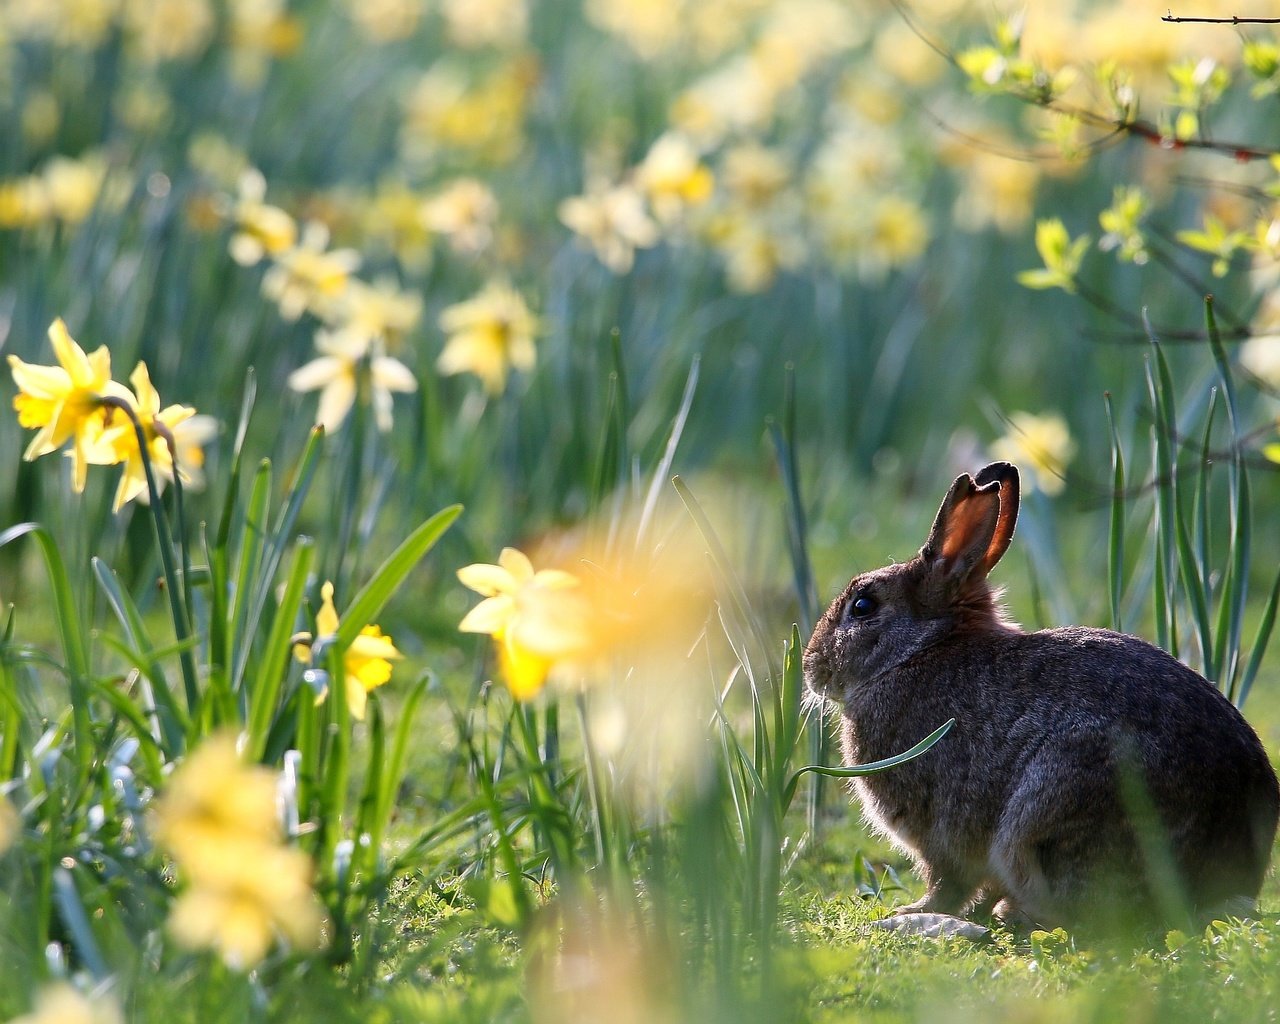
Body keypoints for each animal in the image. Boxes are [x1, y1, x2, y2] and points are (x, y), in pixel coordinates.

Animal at [803, 463, 1274, 936]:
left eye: (863, 606)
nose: (811, 668)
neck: (919, 650)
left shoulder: (939, 831)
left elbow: (947, 881)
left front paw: (911, 911)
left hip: (1049, 815)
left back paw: (1013, 914)